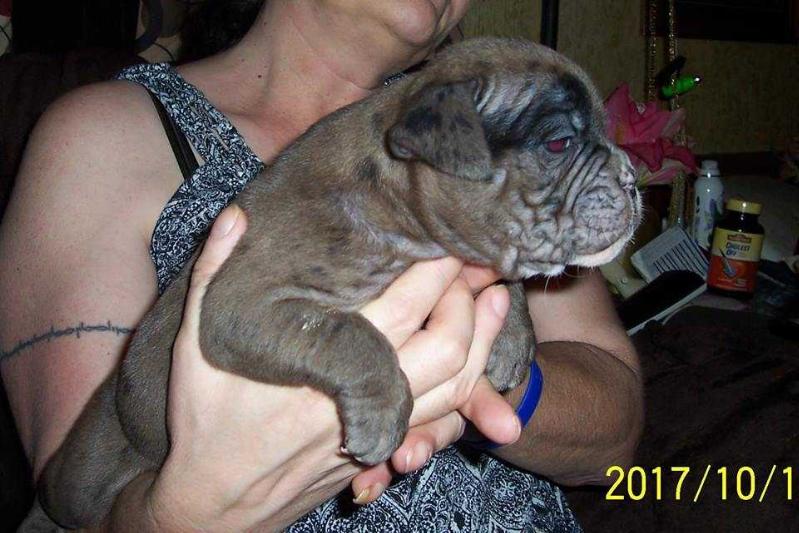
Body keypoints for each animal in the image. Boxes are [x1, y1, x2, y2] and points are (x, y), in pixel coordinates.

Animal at [34, 38, 640, 528]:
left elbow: (504, 277)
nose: (634, 179)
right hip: (84, 477)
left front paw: (514, 337)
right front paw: (384, 410)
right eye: (559, 144)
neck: (398, 201)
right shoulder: (242, 304)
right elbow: (350, 335)